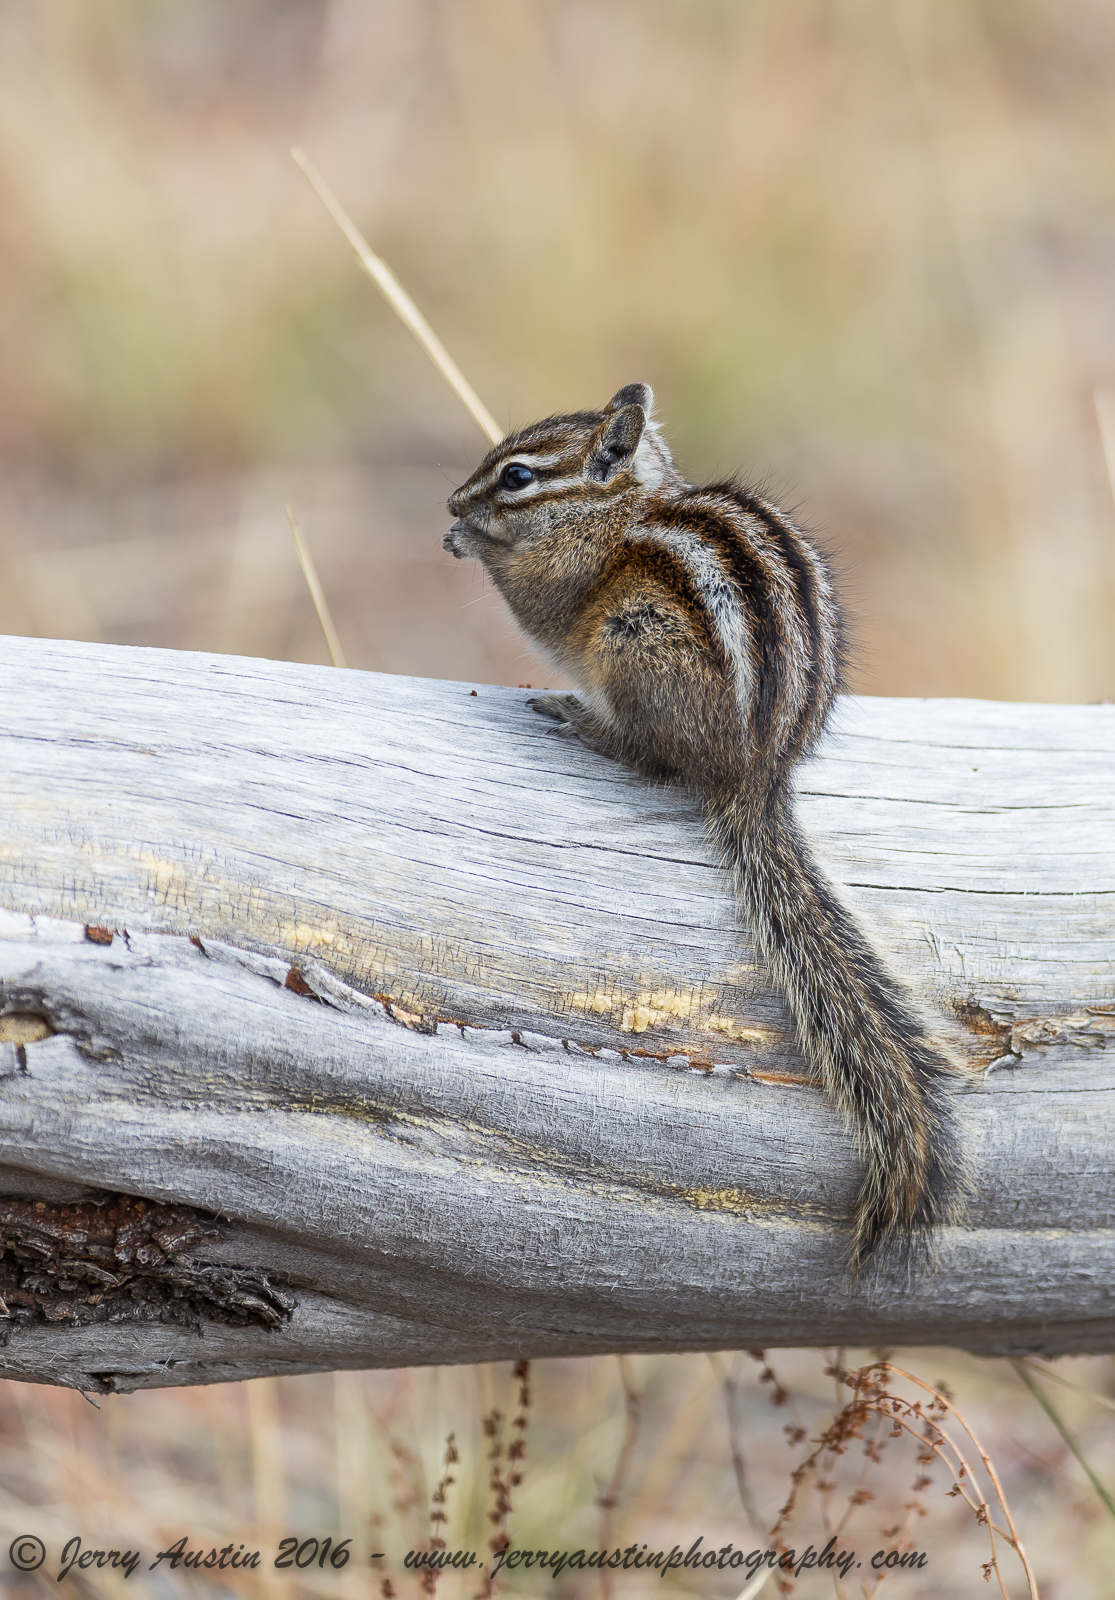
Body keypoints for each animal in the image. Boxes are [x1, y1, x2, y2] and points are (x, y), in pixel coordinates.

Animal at [444, 383, 967, 1270]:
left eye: (515, 476)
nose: (450, 503)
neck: (615, 512)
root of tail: (755, 773)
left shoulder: (562, 588)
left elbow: (532, 603)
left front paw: (469, 541)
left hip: (631, 645)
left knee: (651, 760)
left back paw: (577, 719)